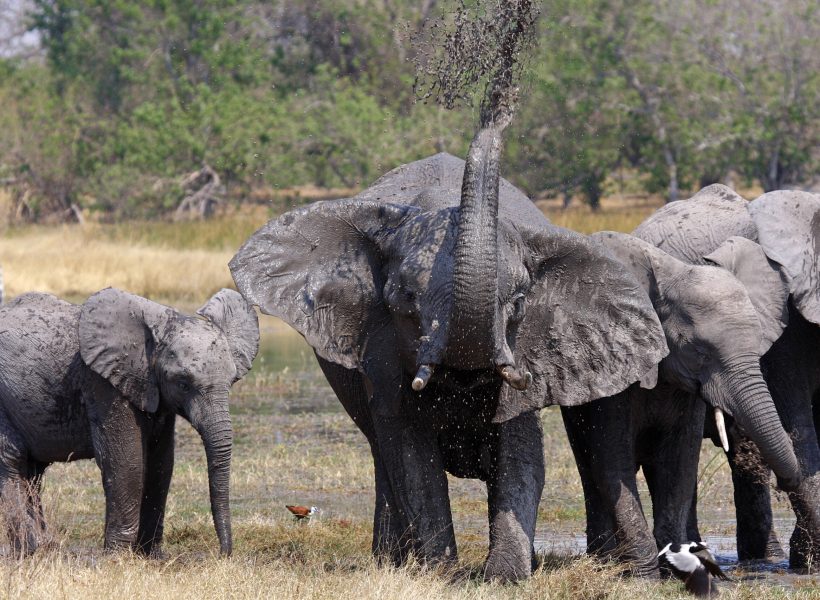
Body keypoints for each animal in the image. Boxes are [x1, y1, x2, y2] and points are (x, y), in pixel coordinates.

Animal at [0, 287, 259, 557]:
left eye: (232, 381)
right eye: (183, 383)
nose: (223, 554)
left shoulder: (153, 391)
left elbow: (160, 464)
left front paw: (151, 556)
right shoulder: (103, 383)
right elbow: (127, 462)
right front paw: (117, 557)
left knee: (33, 471)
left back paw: (44, 549)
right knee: (12, 460)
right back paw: (29, 551)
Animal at [229, 142, 668, 581]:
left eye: (519, 302)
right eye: (405, 298)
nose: (495, 121)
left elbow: (522, 454)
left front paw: (502, 577)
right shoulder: (382, 349)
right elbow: (412, 462)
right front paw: (441, 574)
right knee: (384, 457)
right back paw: (391, 562)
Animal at [560, 231, 801, 576]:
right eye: (700, 352)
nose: (784, 483)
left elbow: (680, 465)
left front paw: (676, 570)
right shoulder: (616, 371)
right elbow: (613, 462)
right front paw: (645, 575)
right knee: (588, 467)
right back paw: (604, 560)